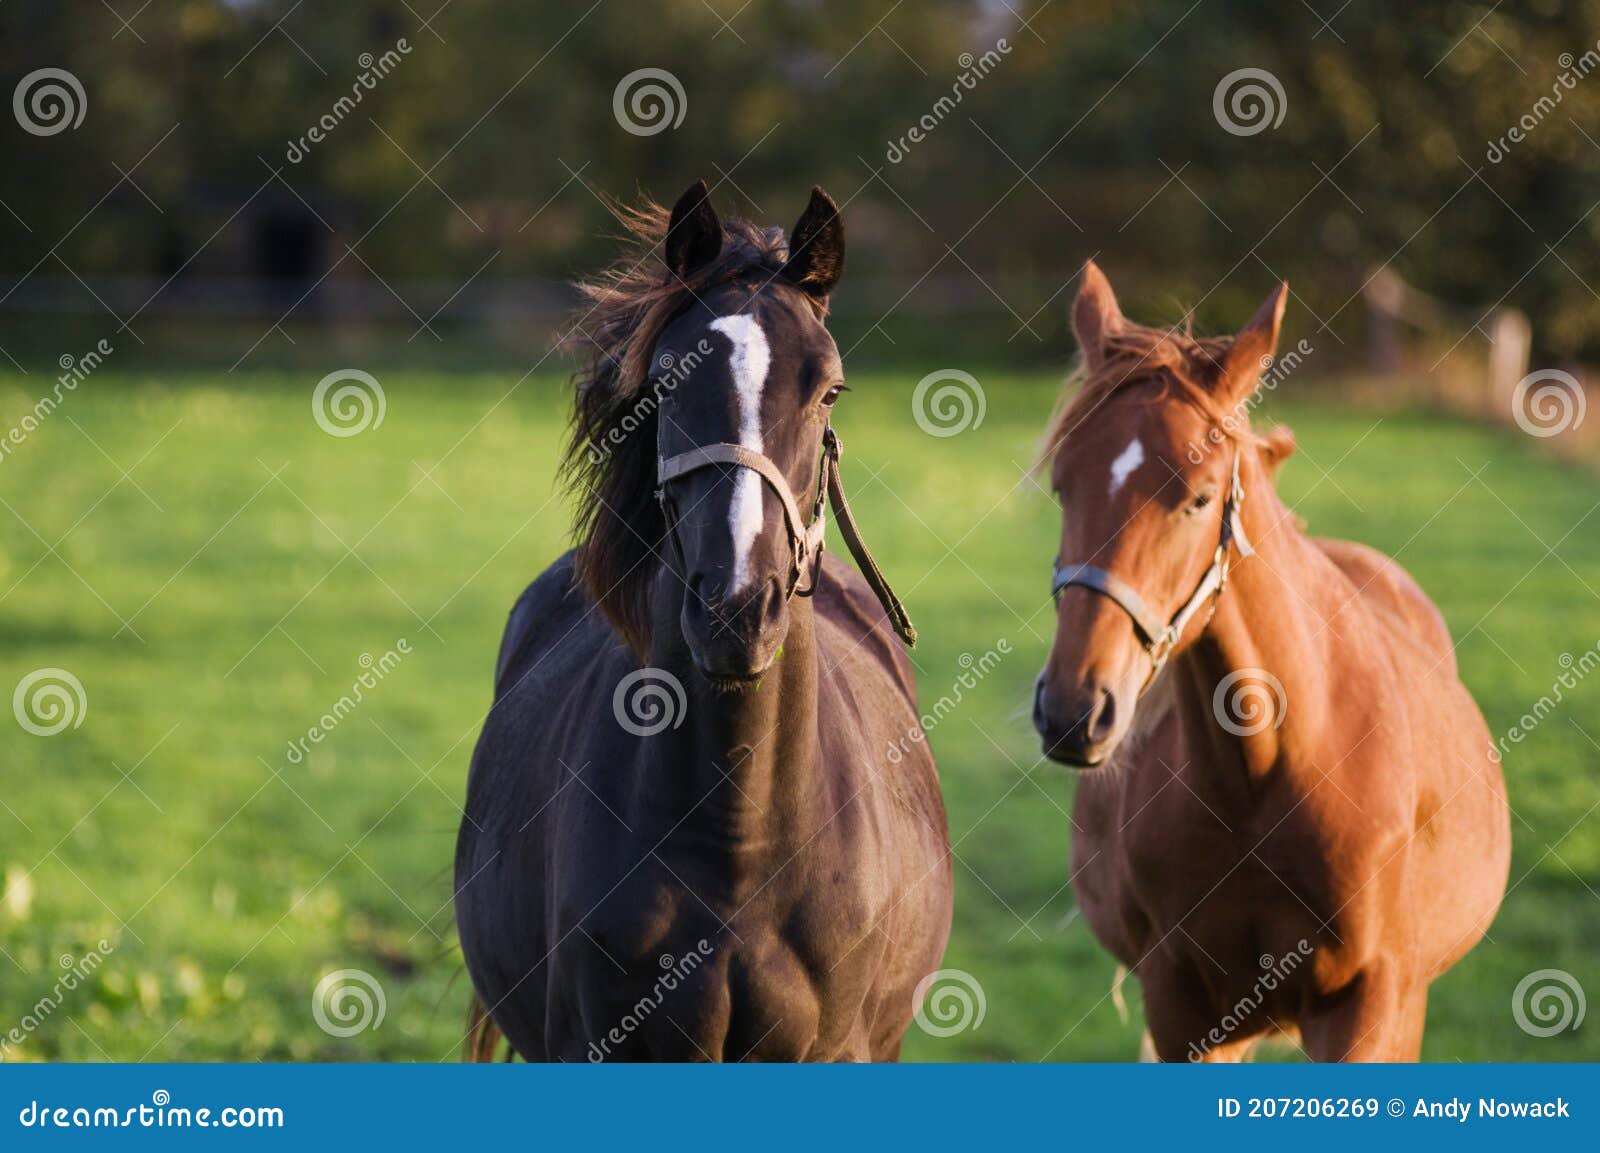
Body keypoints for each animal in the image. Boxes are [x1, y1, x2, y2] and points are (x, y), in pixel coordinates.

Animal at [1030, 263, 1504, 1061]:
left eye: (1197, 499)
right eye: (1064, 485)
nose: (1072, 712)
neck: (1273, 768)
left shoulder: (1371, 1004)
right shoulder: (1185, 1005)